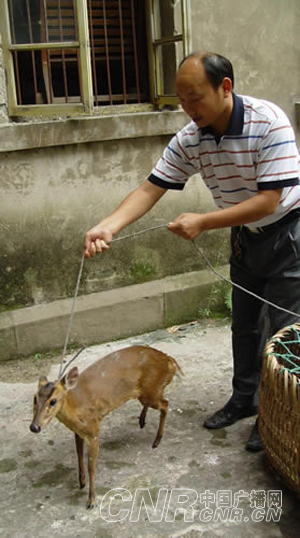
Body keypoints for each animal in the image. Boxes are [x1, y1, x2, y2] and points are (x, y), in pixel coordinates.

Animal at [29, 344, 183, 506]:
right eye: (35, 398)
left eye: (53, 401)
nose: (34, 427)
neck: (76, 409)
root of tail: (170, 360)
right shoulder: (78, 431)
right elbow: (78, 455)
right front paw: (81, 482)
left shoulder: (94, 429)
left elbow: (91, 466)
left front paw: (91, 500)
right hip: (147, 393)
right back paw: (141, 421)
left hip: (152, 390)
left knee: (166, 404)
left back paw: (156, 440)